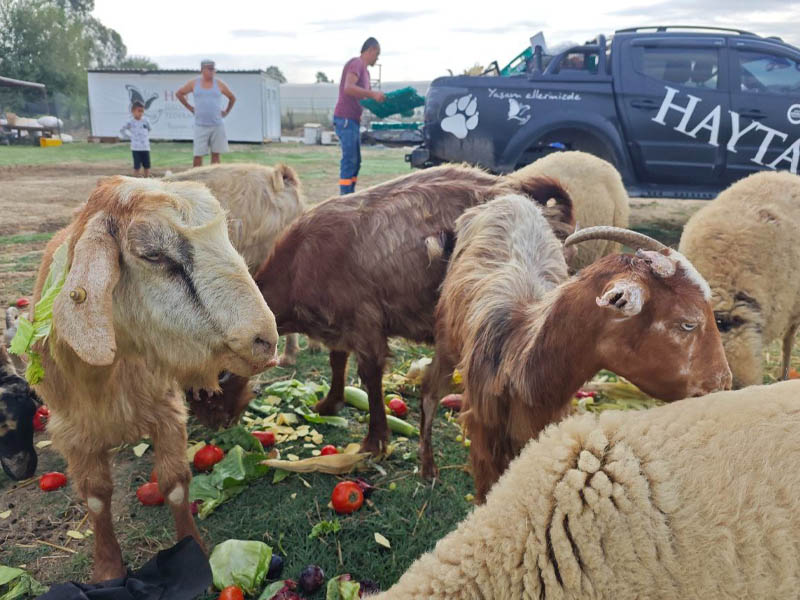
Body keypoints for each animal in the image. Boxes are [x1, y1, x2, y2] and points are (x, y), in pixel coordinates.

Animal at [29, 175, 280, 580]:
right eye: (154, 255)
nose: (264, 340)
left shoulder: (168, 411)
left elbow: (175, 484)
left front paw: (193, 549)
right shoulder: (73, 430)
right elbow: (96, 498)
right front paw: (108, 569)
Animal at [244, 164, 576, 454]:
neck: (301, 262)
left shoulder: (365, 323)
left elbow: (370, 377)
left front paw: (374, 440)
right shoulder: (340, 324)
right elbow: (337, 360)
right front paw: (329, 404)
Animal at [424, 220, 732, 502]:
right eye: (688, 323)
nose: (723, 383)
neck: (518, 352)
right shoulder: (484, 439)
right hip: (446, 345)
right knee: (429, 394)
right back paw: (428, 469)